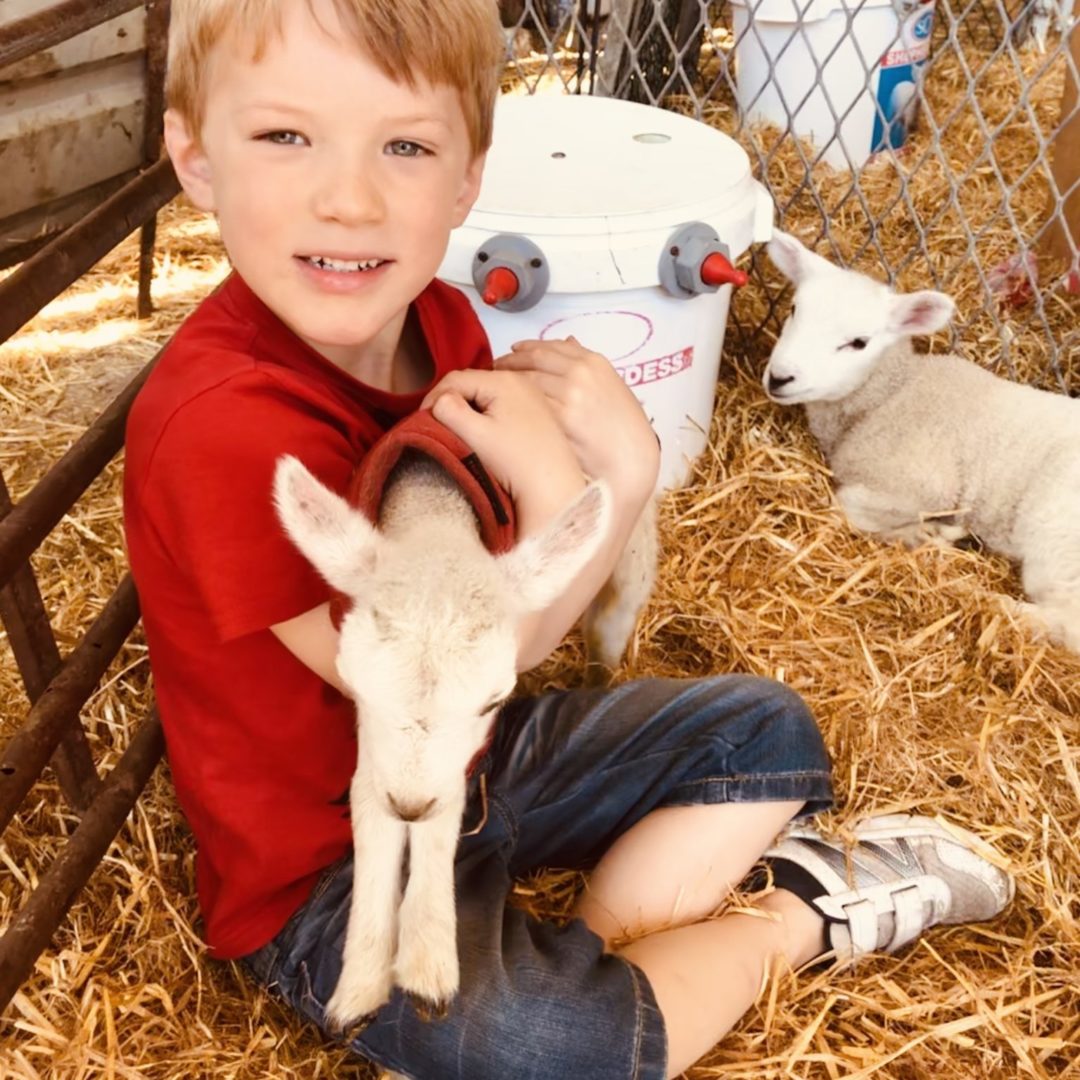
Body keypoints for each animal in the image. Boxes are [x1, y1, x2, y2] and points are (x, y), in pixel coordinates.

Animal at [274, 414, 652, 1028]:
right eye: (352, 685)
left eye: (494, 702)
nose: (408, 805)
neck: (433, 515)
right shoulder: (376, 751)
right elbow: (369, 807)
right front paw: (360, 986)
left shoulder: (454, 761)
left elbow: (443, 809)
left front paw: (427, 964)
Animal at [760, 228, 1080, 648]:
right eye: (794, 309)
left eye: (859, 342)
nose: (780, 377)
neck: (891, 393)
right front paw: (936, 534)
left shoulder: (924, 485)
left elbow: (846, 504)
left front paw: (924, 535)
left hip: (1057, 536)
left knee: (1068, 623)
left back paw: (988, 601)